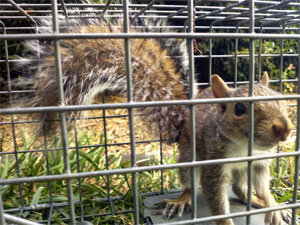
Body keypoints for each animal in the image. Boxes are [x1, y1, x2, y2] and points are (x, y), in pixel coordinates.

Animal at [19, 16, 296, 224]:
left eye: (281, 98)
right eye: (238, 108)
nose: (285, 128)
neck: (243, 149)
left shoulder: (259, 164)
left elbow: (264, 187)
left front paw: (272, 205)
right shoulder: (213, 163)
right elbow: (216, 200)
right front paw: (227, 221)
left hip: (241, 169)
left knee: (241, 189)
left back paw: (258, 202)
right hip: (189, 157)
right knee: (192, 183)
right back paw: (181, 200)